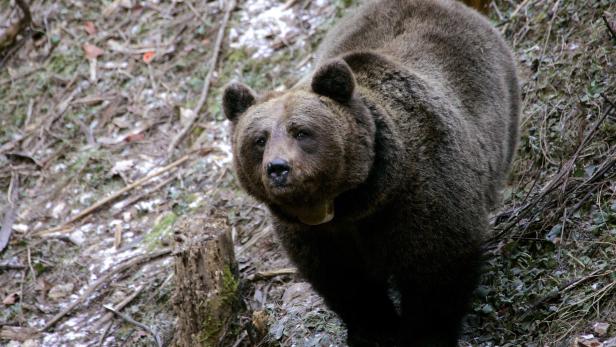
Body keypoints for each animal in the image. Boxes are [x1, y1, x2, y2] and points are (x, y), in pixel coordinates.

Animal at [221, 0, 520, 346]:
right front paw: (374, 331)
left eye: (301, 132)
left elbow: (436, 271)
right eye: (259, 139)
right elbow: (347, 284)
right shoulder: (314, 236)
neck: (351, 202)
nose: (278, 168)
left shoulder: (423, 194)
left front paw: (423, 334)